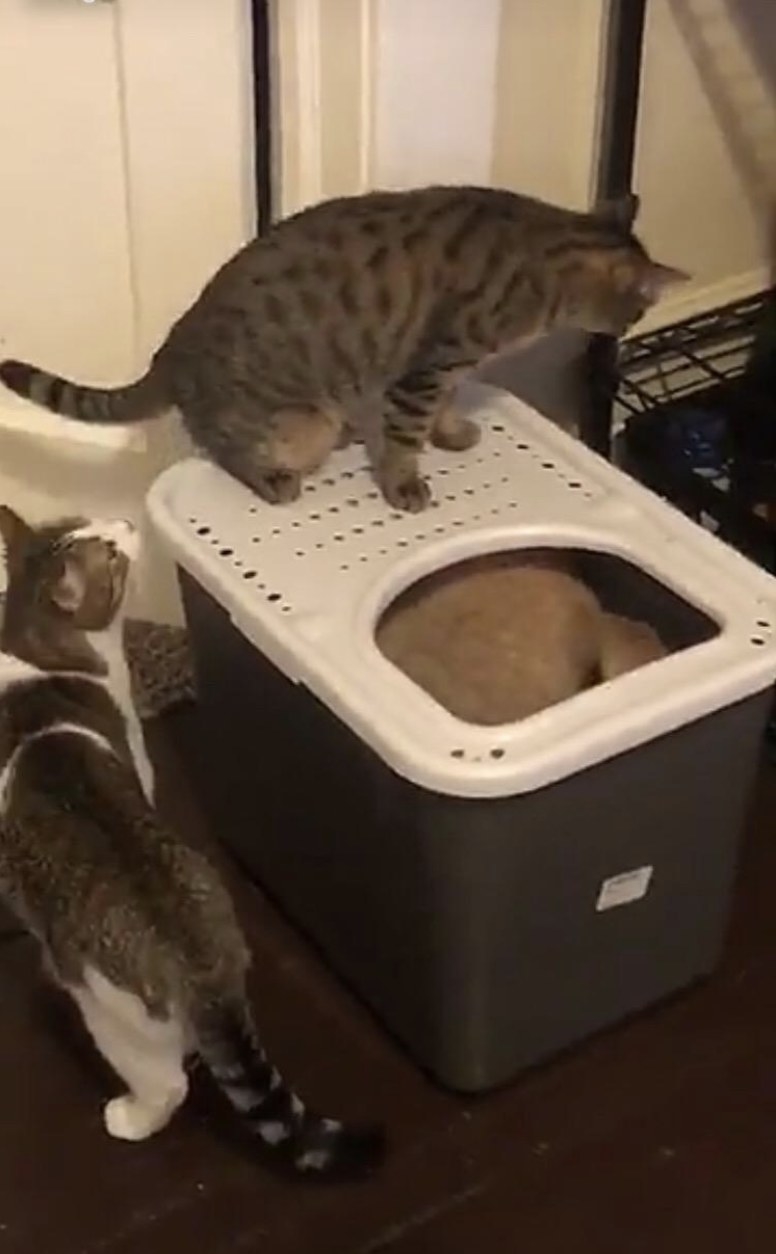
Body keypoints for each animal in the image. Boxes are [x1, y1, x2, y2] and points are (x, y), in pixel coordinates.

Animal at [0, 183, 686, 514]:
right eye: (641, 307)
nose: (629, 326)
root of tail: (172, 345)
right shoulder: (428, 365)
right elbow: (408, 437)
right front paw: (405, 483)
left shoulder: (441, 369)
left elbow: (442, 413)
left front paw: (454, 433)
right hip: (305, 421)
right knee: (226, 447)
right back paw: (273, 478)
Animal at [0, 504, 386, 1178]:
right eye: (106, 550)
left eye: (98, 530)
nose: (125, 522)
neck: (31, 654)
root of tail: (198, 958)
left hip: (104, 1011)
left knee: (168, 1082)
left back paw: (130, 1114)